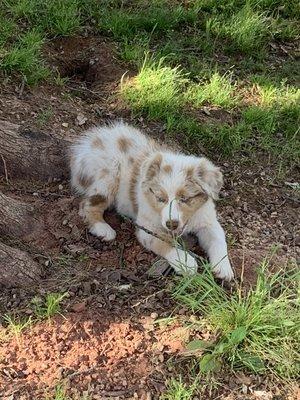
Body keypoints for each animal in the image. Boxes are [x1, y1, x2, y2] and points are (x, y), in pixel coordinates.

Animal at [70, 122, 234, 282]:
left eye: (185, 198)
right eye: (161, 198)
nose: (171, 224)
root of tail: (87, 144)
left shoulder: (207, 220)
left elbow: (219, 238)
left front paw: (223, 267)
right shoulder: (147, 229)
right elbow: (165, 243)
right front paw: (185, 263)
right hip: (109, 176)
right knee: (87, 205)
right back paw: (102, 228)